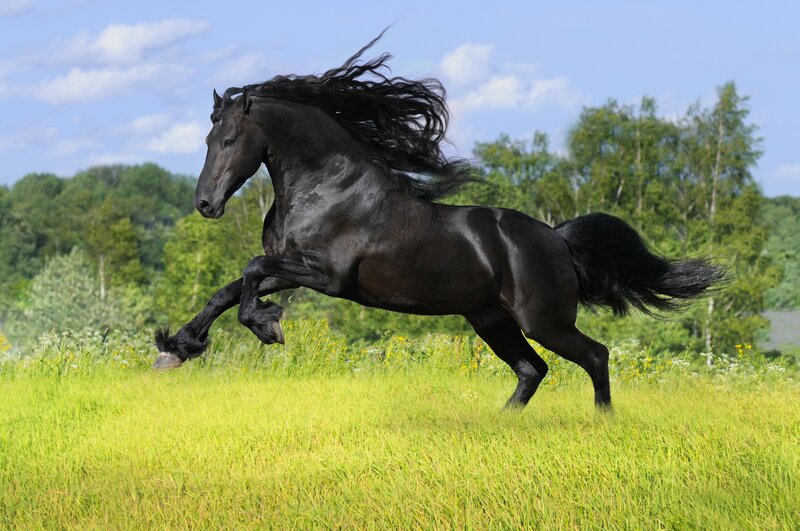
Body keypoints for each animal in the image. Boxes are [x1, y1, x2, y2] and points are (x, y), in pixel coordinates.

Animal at [153, 34, 723, 410]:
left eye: (230, 139)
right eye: (208, 138)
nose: (205, 204)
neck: (327, 187)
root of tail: (557, 240)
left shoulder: (326, 275)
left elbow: (249, 271)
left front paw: (267, 326)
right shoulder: (292, 266)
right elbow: (227, 290)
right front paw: (176, 349)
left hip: (544, 320)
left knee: (595, 356)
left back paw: (602, 422)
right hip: (492, 321)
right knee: (532, 369)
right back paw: (502, 424)